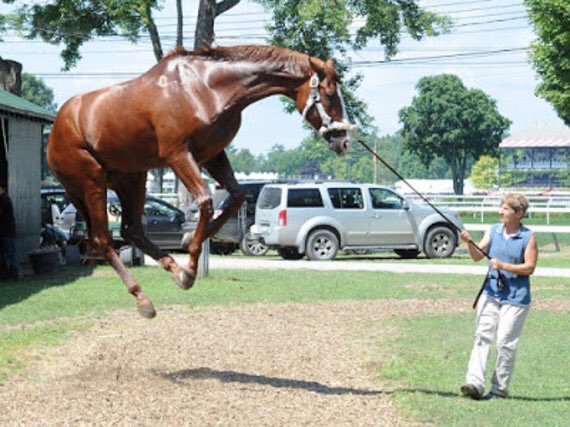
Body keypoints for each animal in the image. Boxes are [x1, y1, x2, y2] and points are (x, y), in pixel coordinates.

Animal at [46, 46, 352, 318]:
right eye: (328, 94)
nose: (344, 140)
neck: (204, 87)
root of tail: (56, 130)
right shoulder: (179, 155)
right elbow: (205, 201)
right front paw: (192, 260)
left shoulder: (212, 155)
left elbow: (235, 197)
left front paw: (195, 241)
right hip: (92, 184)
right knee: (103, 240)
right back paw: (144, 298)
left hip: (131, 179)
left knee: (132, 230)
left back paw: (175, 271)